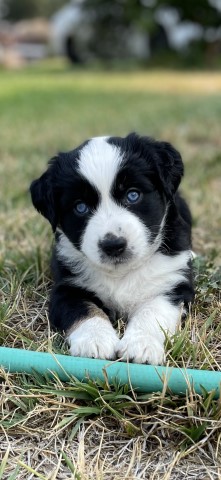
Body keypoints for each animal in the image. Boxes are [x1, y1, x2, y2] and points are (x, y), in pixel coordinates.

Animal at [30, 132, 193, 364]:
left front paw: (141, 346)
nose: (113, 245)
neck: (121, 273)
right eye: (80, 207)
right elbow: (85, 311)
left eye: (133, 195)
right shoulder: (67, 288)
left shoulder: (174, 285)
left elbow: (152, 312)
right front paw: (95, 341)